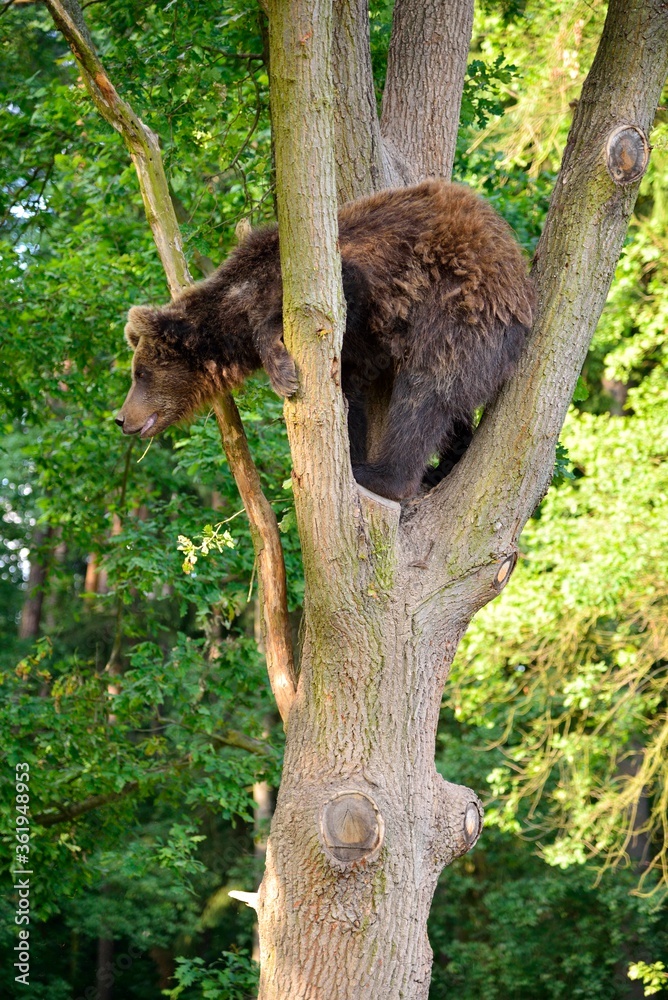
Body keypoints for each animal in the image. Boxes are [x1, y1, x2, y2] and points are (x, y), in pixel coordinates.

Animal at [116, 179, 535, 501]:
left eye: (140, 373)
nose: (122, 418)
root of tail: (517, 265)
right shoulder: (357, 347)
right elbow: (350, 396)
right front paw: (347, 450)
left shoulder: (354, 283)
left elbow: (326, 303)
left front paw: (283, 372)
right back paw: (444, 462)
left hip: (457, 310)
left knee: (427, 393)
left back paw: (384, 475)